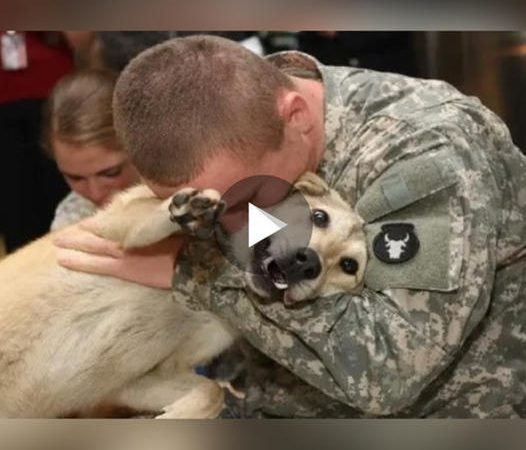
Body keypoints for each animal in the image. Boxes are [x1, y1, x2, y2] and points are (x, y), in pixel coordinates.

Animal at [0, 172, 368, 418]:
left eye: (349, 266)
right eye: (319, 216)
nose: (308, 263)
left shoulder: (139, 380)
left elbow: (210, 391)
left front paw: (172, 417)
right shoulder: (111, 224)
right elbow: (146, 220)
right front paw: (189, 210)